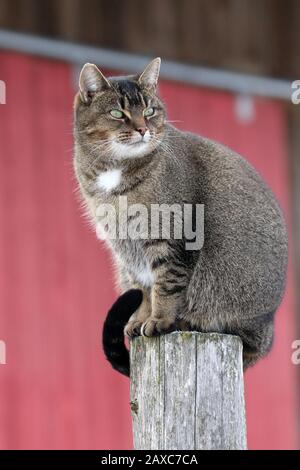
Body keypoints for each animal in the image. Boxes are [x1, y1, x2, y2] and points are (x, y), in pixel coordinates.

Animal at [72, 58, 288, 376]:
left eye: (149, 111)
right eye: (117, 113)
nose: (142, 129)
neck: (115, 172)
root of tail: (268, 333)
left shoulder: (173, 234)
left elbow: (166, 282)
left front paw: (160, 320)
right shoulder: (126, 248)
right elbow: (144, 286)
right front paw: (142, 318)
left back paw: (187, 321)